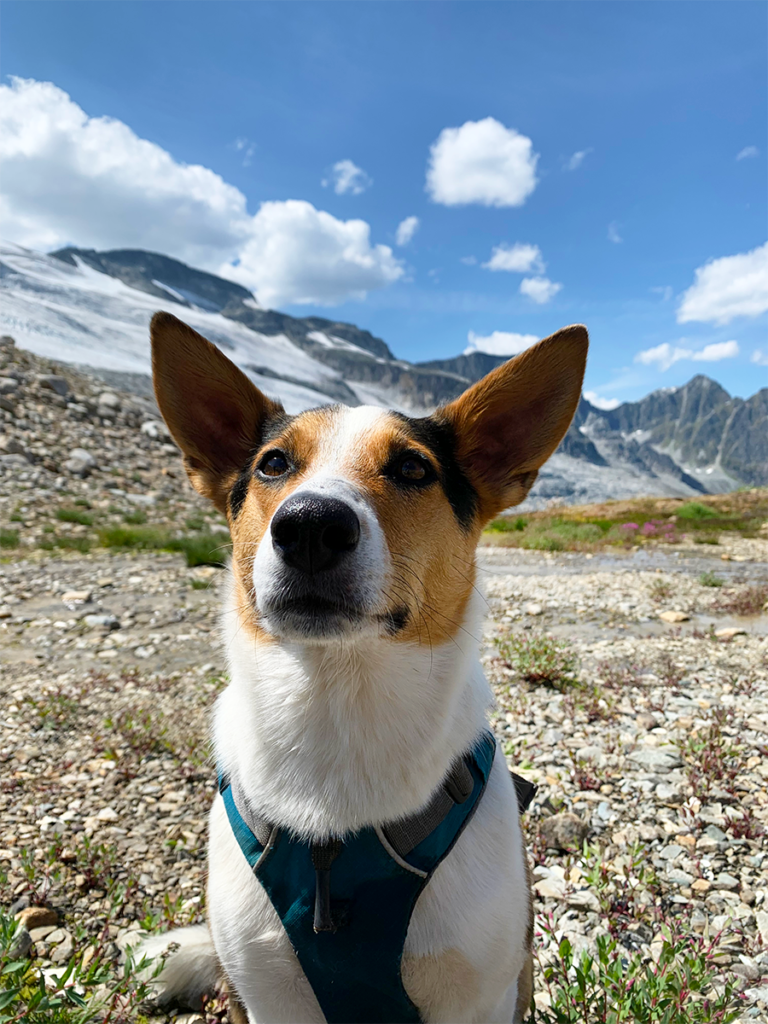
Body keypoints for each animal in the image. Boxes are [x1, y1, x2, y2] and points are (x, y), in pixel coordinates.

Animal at [141, 313, 589, 1024]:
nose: (309, 525)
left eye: (411, 467)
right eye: (274, 464)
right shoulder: (270, 995)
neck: (339, 706)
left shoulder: (478, 995)